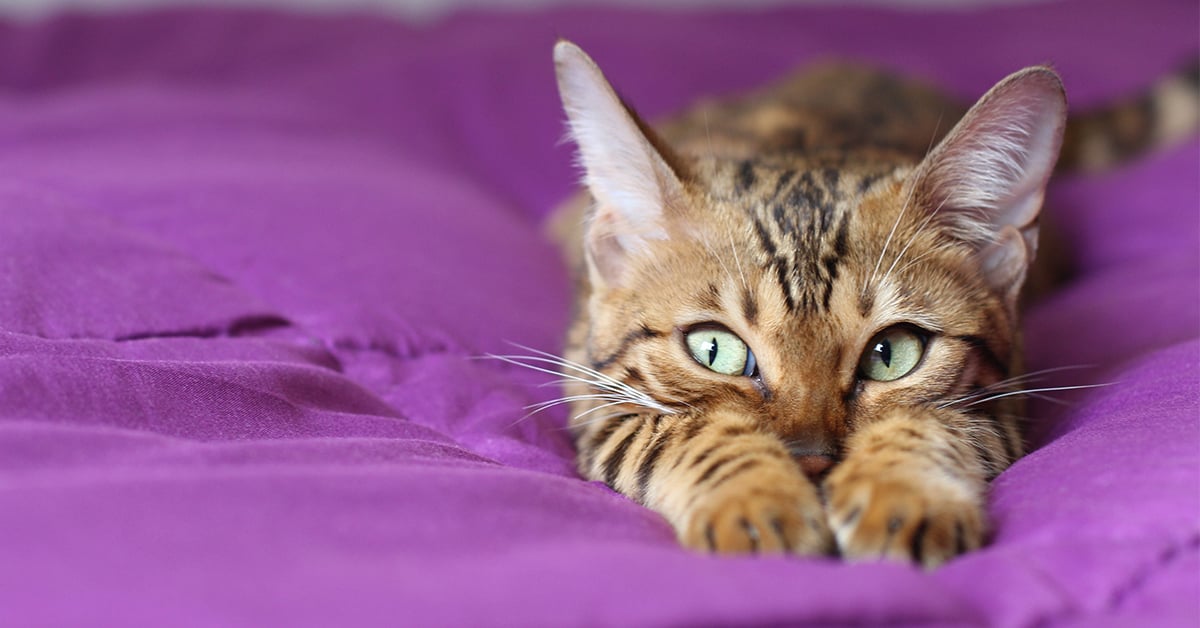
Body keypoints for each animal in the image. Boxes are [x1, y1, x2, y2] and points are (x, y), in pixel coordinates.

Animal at [547, 40, 1200, 569]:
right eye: (715, 350)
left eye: (892, 354)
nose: (810, 460)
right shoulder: (596, 400)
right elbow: (681, 431)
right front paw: (757, 501)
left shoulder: (1001, 408)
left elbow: (932, 422)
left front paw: (901, 496)